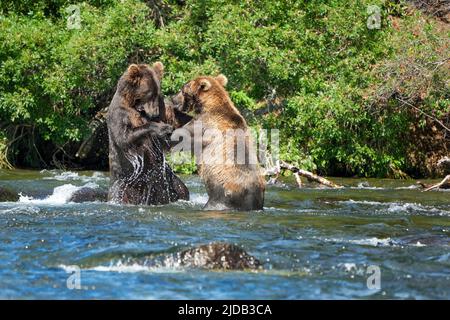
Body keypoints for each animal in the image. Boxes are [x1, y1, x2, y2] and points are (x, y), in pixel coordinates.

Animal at [107, 62, 190, 205]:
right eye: (149, 93)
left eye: (157, 93)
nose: (155, 114)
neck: (136, 106)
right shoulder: (120, 114)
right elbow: (124, 137)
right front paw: (162, 128)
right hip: (125, 185)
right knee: (118, 193)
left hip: (166, 180)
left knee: (182, 189)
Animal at [171, 74, 264, 211]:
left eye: (183, 90)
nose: (172, 99)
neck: (208, 105)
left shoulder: (204, 124)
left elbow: (182, 135)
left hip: (221, 196)